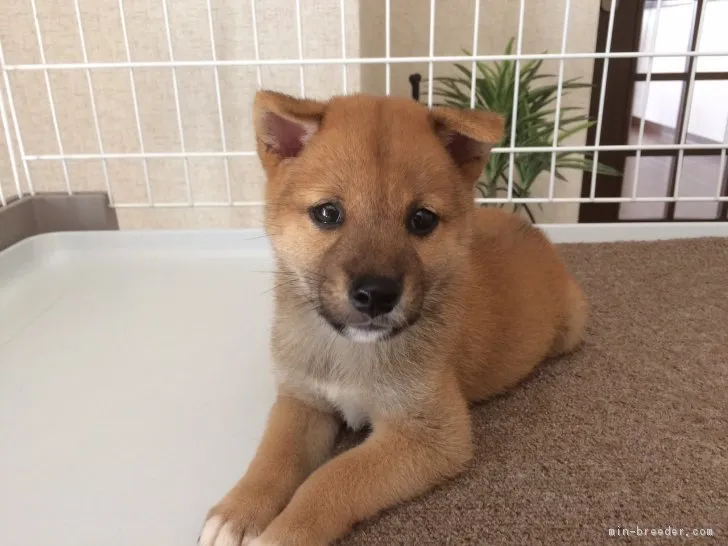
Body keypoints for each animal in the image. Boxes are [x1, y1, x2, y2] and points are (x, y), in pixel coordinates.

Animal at [199, 91, 584, 540]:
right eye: (327, 213)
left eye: (422, 219)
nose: (376, 295)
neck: (348, 350)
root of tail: (535, 233)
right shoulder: (302, 400)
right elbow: (273, 457)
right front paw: (238, 511)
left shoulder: (428, 434)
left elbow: (331, 478)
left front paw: (285, 533)